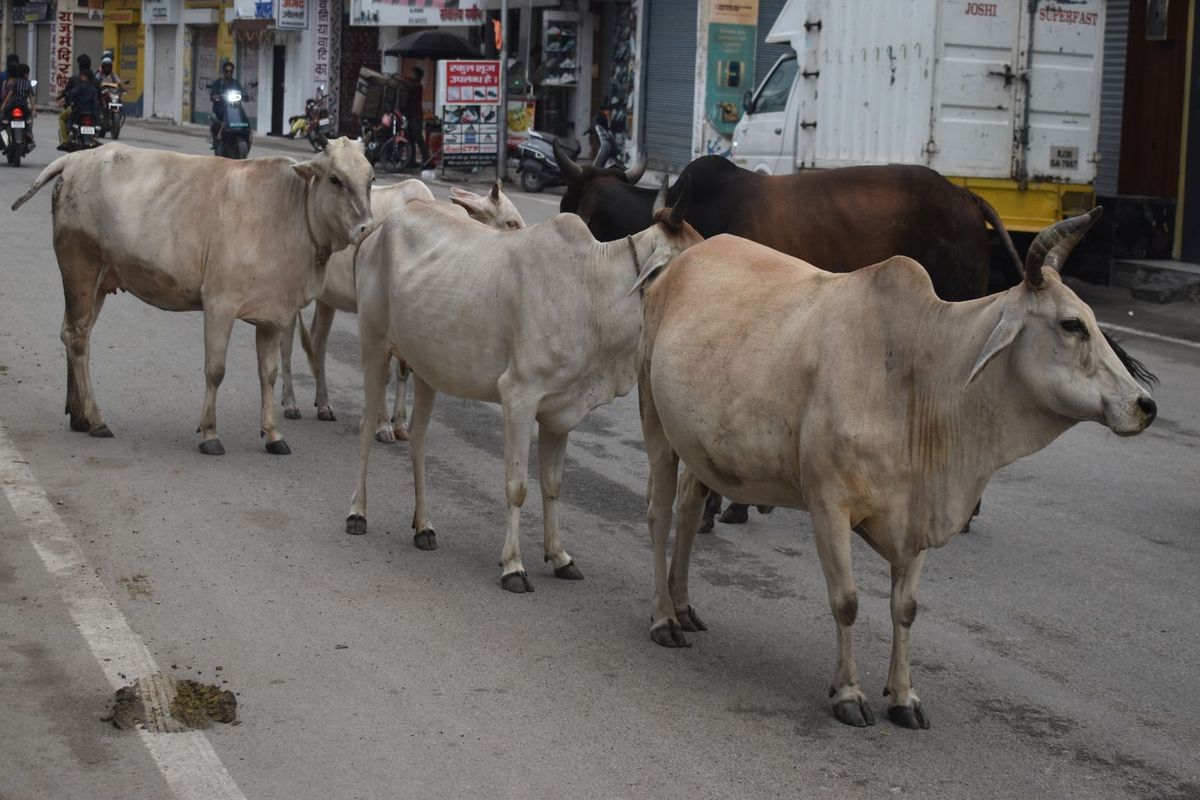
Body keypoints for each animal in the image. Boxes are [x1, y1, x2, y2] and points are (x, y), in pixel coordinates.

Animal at [9, 139, 372, 455]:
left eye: (370, 180)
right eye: (335, 179)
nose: (367, 228)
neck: (291, 215)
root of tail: (77, 158)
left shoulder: (273, 315)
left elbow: (268, 375)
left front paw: (273, 435)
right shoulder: (219, 304)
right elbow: (215, 370)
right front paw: (210, 434)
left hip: (98, 282)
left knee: (76, 334)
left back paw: (80, 416)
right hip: (80, 269)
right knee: (77, 338)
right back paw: (96, 419)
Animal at [348, 184, 700, 592]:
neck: (592, 289)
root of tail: (381, 227)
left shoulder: (560, 412)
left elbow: (552, 485)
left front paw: (560, 557)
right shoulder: (518, 397)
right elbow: (517, 485)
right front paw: (513, 566)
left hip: (426, 368)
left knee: (418, 439)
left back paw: (424, 526)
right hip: (373, 346)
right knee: (365, 428)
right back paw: (357, 513)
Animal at [638, 208, 1152, 734]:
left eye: (1092, 319)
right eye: (1072, 325)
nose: (1144, 405)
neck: (919, 375)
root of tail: (686, 259)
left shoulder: (916, 513)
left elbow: (905, 609)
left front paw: (903, 697)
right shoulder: (829, 504)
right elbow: (846, 601)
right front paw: (848, 693)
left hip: (697, 447)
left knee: (689, 510)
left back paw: (682, 606)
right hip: (655, 421)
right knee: (660, 515)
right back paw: (663, 618)